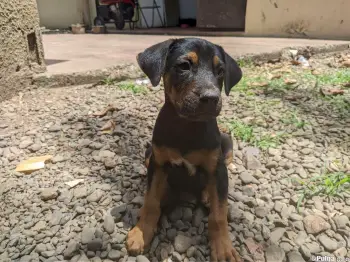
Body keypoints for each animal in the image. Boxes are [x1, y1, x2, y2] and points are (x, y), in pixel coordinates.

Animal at [126, 37, 243, 262]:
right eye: (184, 66)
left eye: (220, 71)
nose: (211, 98)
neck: (187, 126)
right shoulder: (158, 163)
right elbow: (150, 201)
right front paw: (141, 233)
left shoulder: (217, 168)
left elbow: (219, 214)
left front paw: (223, 248)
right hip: (149, 153)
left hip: (226, 143)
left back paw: (207, 195)